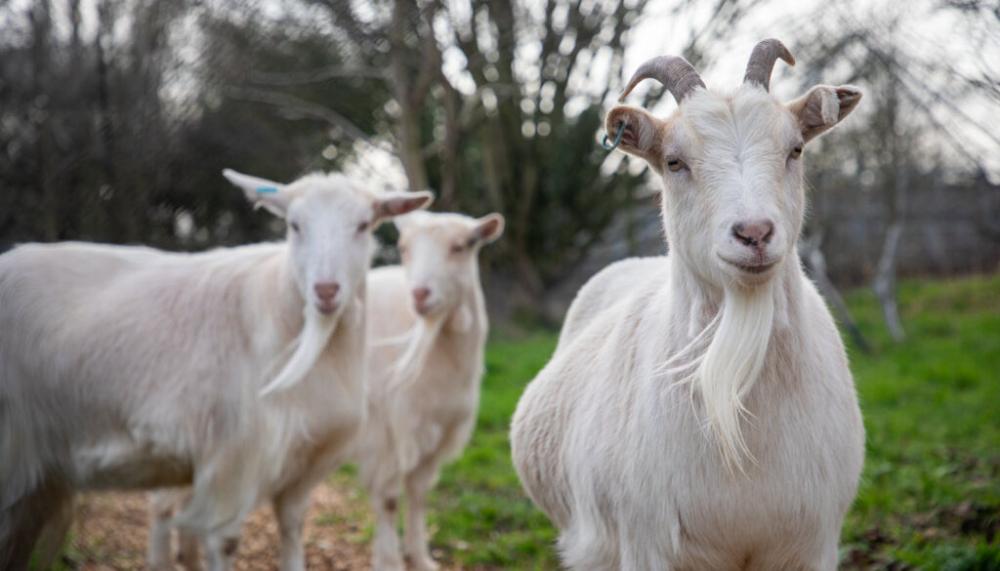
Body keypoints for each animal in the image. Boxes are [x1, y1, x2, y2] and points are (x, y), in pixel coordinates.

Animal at [0, 170, 430, 571]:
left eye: (363, 225)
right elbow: (225, 541)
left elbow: (293, 530)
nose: (326, 291)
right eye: (294, 225)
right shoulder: (232, 457)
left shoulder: (305, 461)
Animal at [360, 211, 504, 571]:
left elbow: (418, 493)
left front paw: (420, 557)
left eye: (461, 246)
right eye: (403, 248)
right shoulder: (386, 432)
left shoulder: (439, 429)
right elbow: (388, 498)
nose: (420, 294)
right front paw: (389, 561)